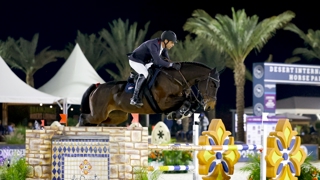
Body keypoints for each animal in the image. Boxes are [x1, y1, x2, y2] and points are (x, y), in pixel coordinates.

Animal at [77, 62, 220, 126]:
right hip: (98, 114)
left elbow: (191, 103)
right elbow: (186, 101)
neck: (176, 79)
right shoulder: (163, 103)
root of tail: (97, 87)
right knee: (84, 118)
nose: (210, 106)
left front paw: (180, 114)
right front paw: (179, 113)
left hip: (116, 116)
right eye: (212, 85)